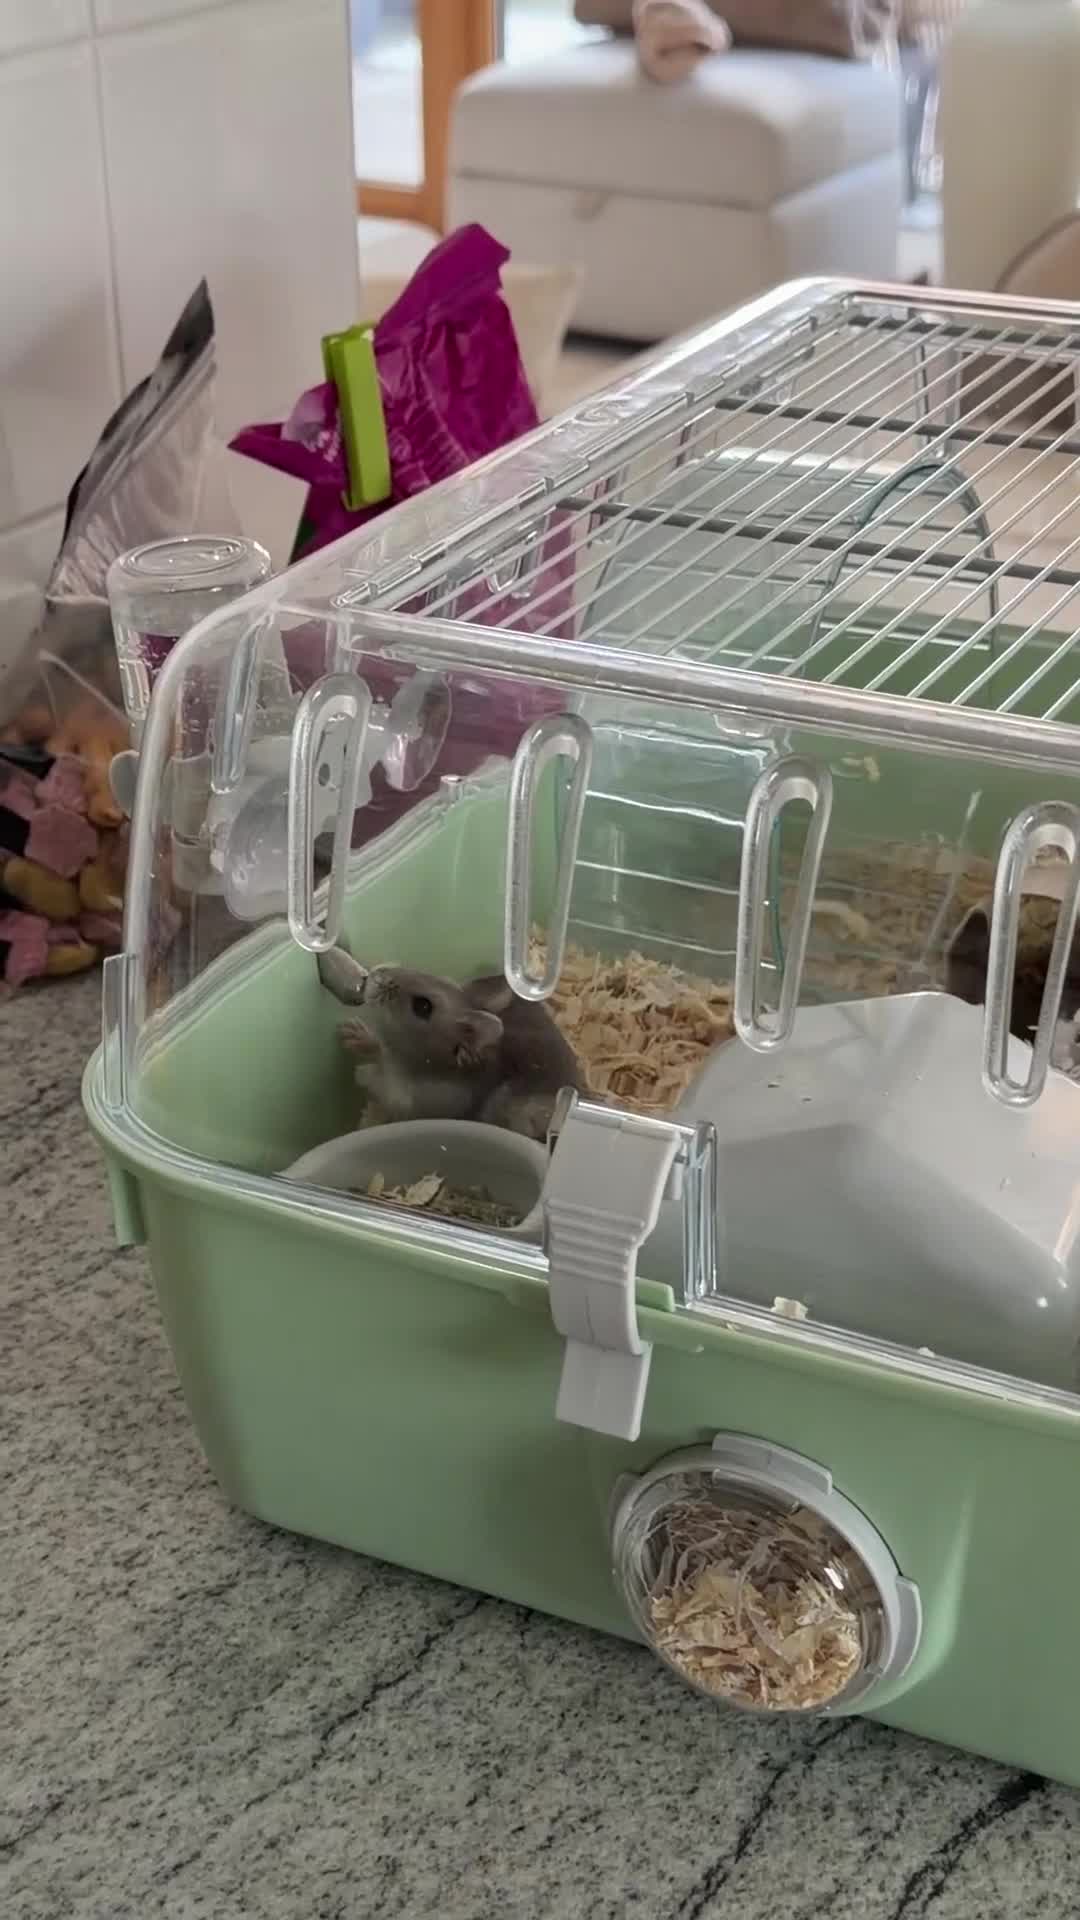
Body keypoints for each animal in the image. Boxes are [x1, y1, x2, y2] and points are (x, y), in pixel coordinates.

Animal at [322, 955, 586, 1139]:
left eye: (423, 1007)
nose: (373, 974)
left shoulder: (411, 1103)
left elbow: (382, 1088)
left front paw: (361, 1078)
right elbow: (377, 1049)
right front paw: (348, 1031)